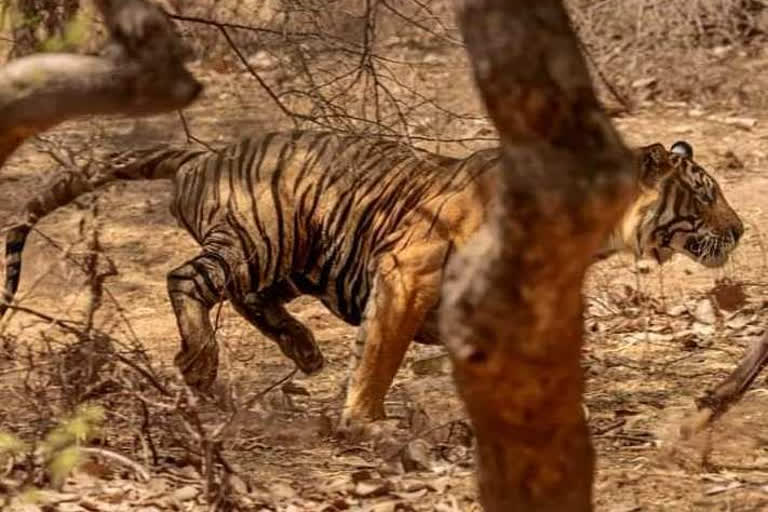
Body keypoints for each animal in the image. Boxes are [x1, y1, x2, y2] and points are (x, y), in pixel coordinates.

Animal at [0, 131, 744, 432]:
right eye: (705, 195)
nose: (738, 231)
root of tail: (204, 153)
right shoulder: (409, 270)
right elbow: (382, 355)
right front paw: (364, 421)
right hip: (258, 240)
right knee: (187, 280)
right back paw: (202, 365)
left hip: (299, 257)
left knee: (249, 299)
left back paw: (302, 351)